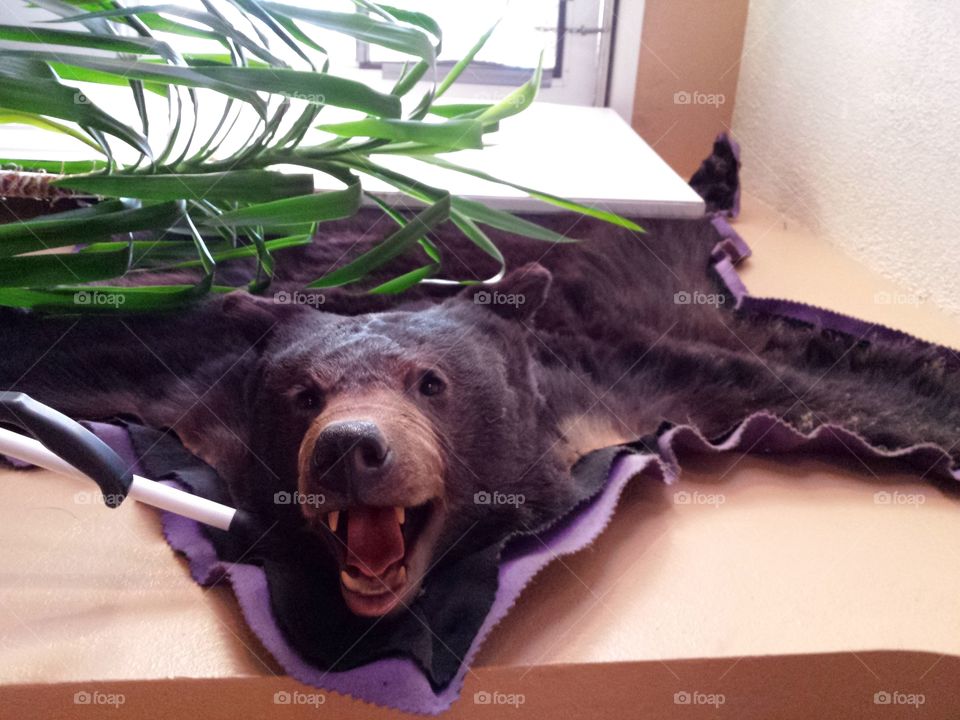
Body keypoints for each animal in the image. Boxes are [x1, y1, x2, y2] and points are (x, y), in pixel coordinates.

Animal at [2, 208, 960, 619]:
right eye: (303, 395)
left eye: (431, 383)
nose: (348, 448)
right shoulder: (189, 366)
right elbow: (78, 342)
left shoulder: (611, 372)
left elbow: (782, 383)